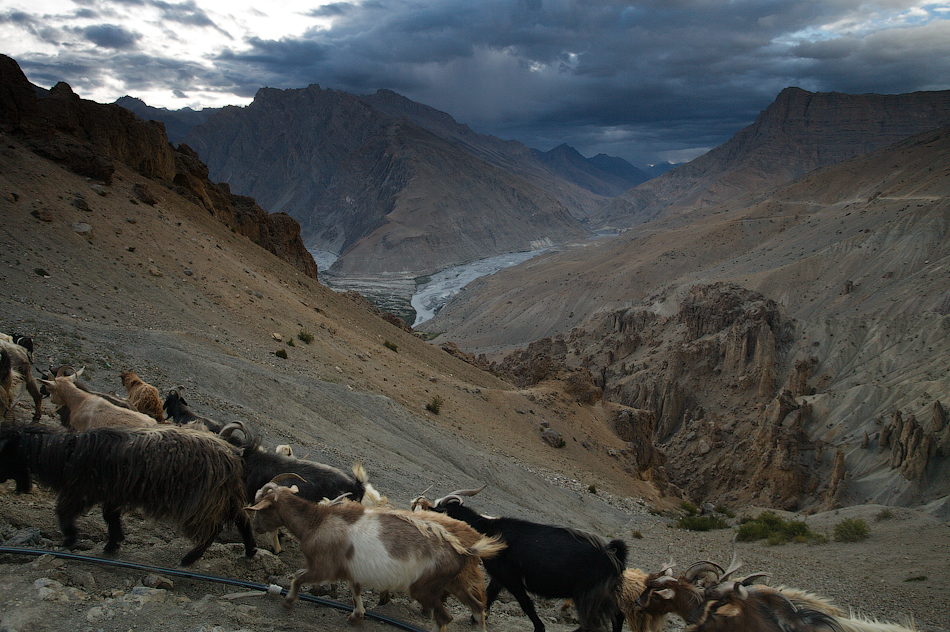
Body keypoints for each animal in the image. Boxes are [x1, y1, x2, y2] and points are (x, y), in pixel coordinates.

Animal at [0, 422, 256, 564]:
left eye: (4, 452)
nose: (1, 478)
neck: (66, 453)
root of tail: (234, 454)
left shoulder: (81, 490)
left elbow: (64, 513)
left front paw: (70, 540)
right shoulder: (111, 494)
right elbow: (110, 517)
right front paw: (112, 544)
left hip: (202, 501)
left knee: (213, 529)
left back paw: (189, 558)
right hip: (224, 497)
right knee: (241, 519)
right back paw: (250, 550)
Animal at [249, 478, 510, 632]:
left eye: (261, 505)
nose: (256, 527)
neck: (317, 521)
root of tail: (464, 549)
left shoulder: (322, 566)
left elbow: (298, 576)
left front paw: (288, 602)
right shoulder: (351, 569)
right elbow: (354, 591)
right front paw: (356, 617)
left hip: (424, 588)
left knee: (445, 618)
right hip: (454, 584)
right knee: (477, 607)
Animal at [412, 486, 628, 632]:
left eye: (439, 510)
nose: (421, 512)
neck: (488, 530)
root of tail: (614, 557)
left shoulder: (511, 578)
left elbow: (525, 603)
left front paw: (539, 627)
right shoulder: (498, 577)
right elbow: (488, 597)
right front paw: (475, 620)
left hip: (587, 594)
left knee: (593, 623)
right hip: (602, 594)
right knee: (618, 615)